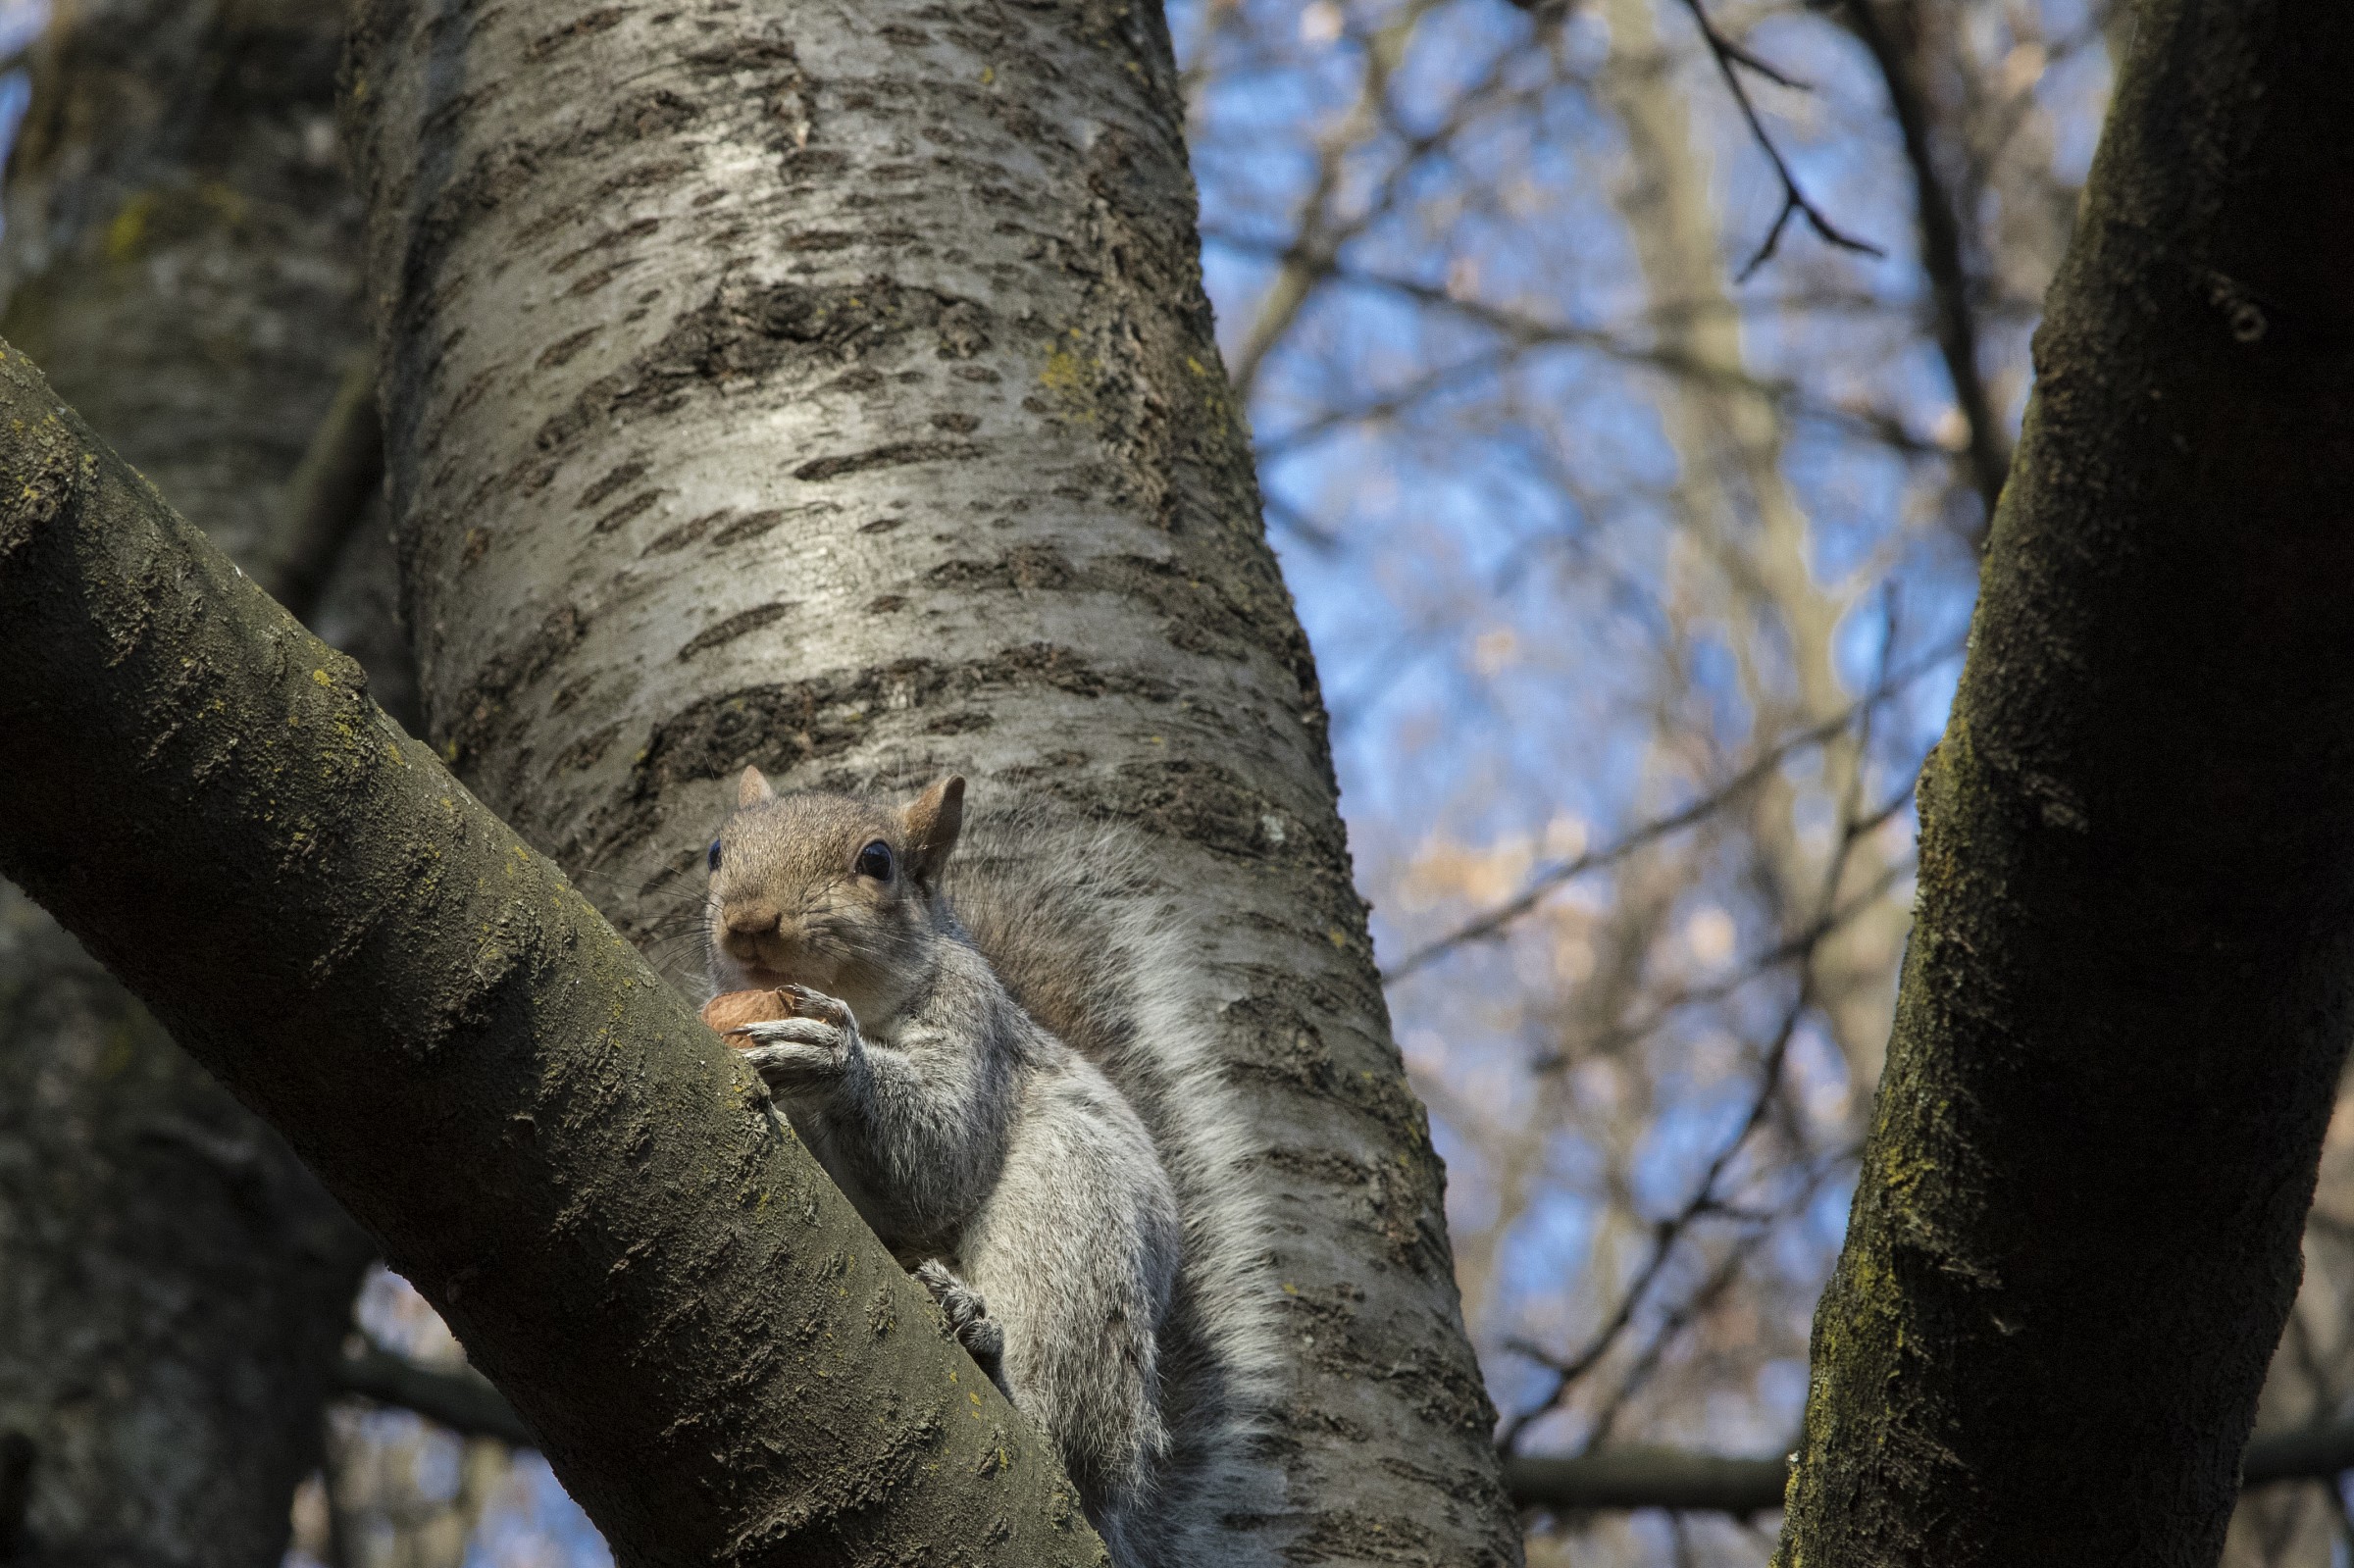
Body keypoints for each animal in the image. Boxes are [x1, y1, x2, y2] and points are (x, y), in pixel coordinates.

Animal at [700, 770, 1281, 1564]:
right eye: (716, 851)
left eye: (877, 860)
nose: (750, 921)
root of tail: (1111, 1512)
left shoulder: (974, 1029)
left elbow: (936, 1163)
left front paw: (835, 1060)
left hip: (1070, 1214)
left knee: (1061, 1424)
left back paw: (994, 1364)